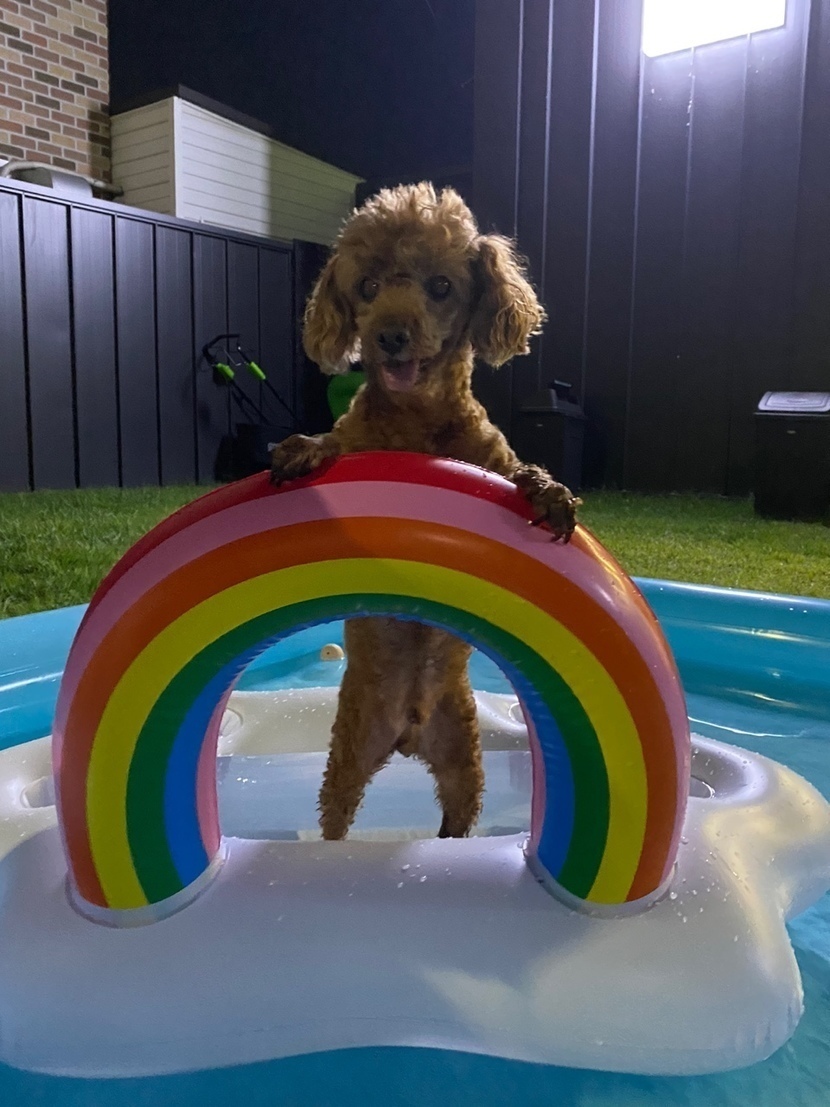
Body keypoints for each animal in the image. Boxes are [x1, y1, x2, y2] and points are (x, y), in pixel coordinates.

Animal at [270, 182, 580, 841]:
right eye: (366, 286)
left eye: (440, 286)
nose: (390, 334)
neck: (416, 418)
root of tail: (407, 734)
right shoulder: (356, 440)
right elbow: (334, 441)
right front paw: (303, 449)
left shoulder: (493, 457)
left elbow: (522, 472)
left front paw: (551, 495)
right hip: (349, 755)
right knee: (336, 817)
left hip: (464, 762)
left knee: (457, 816)